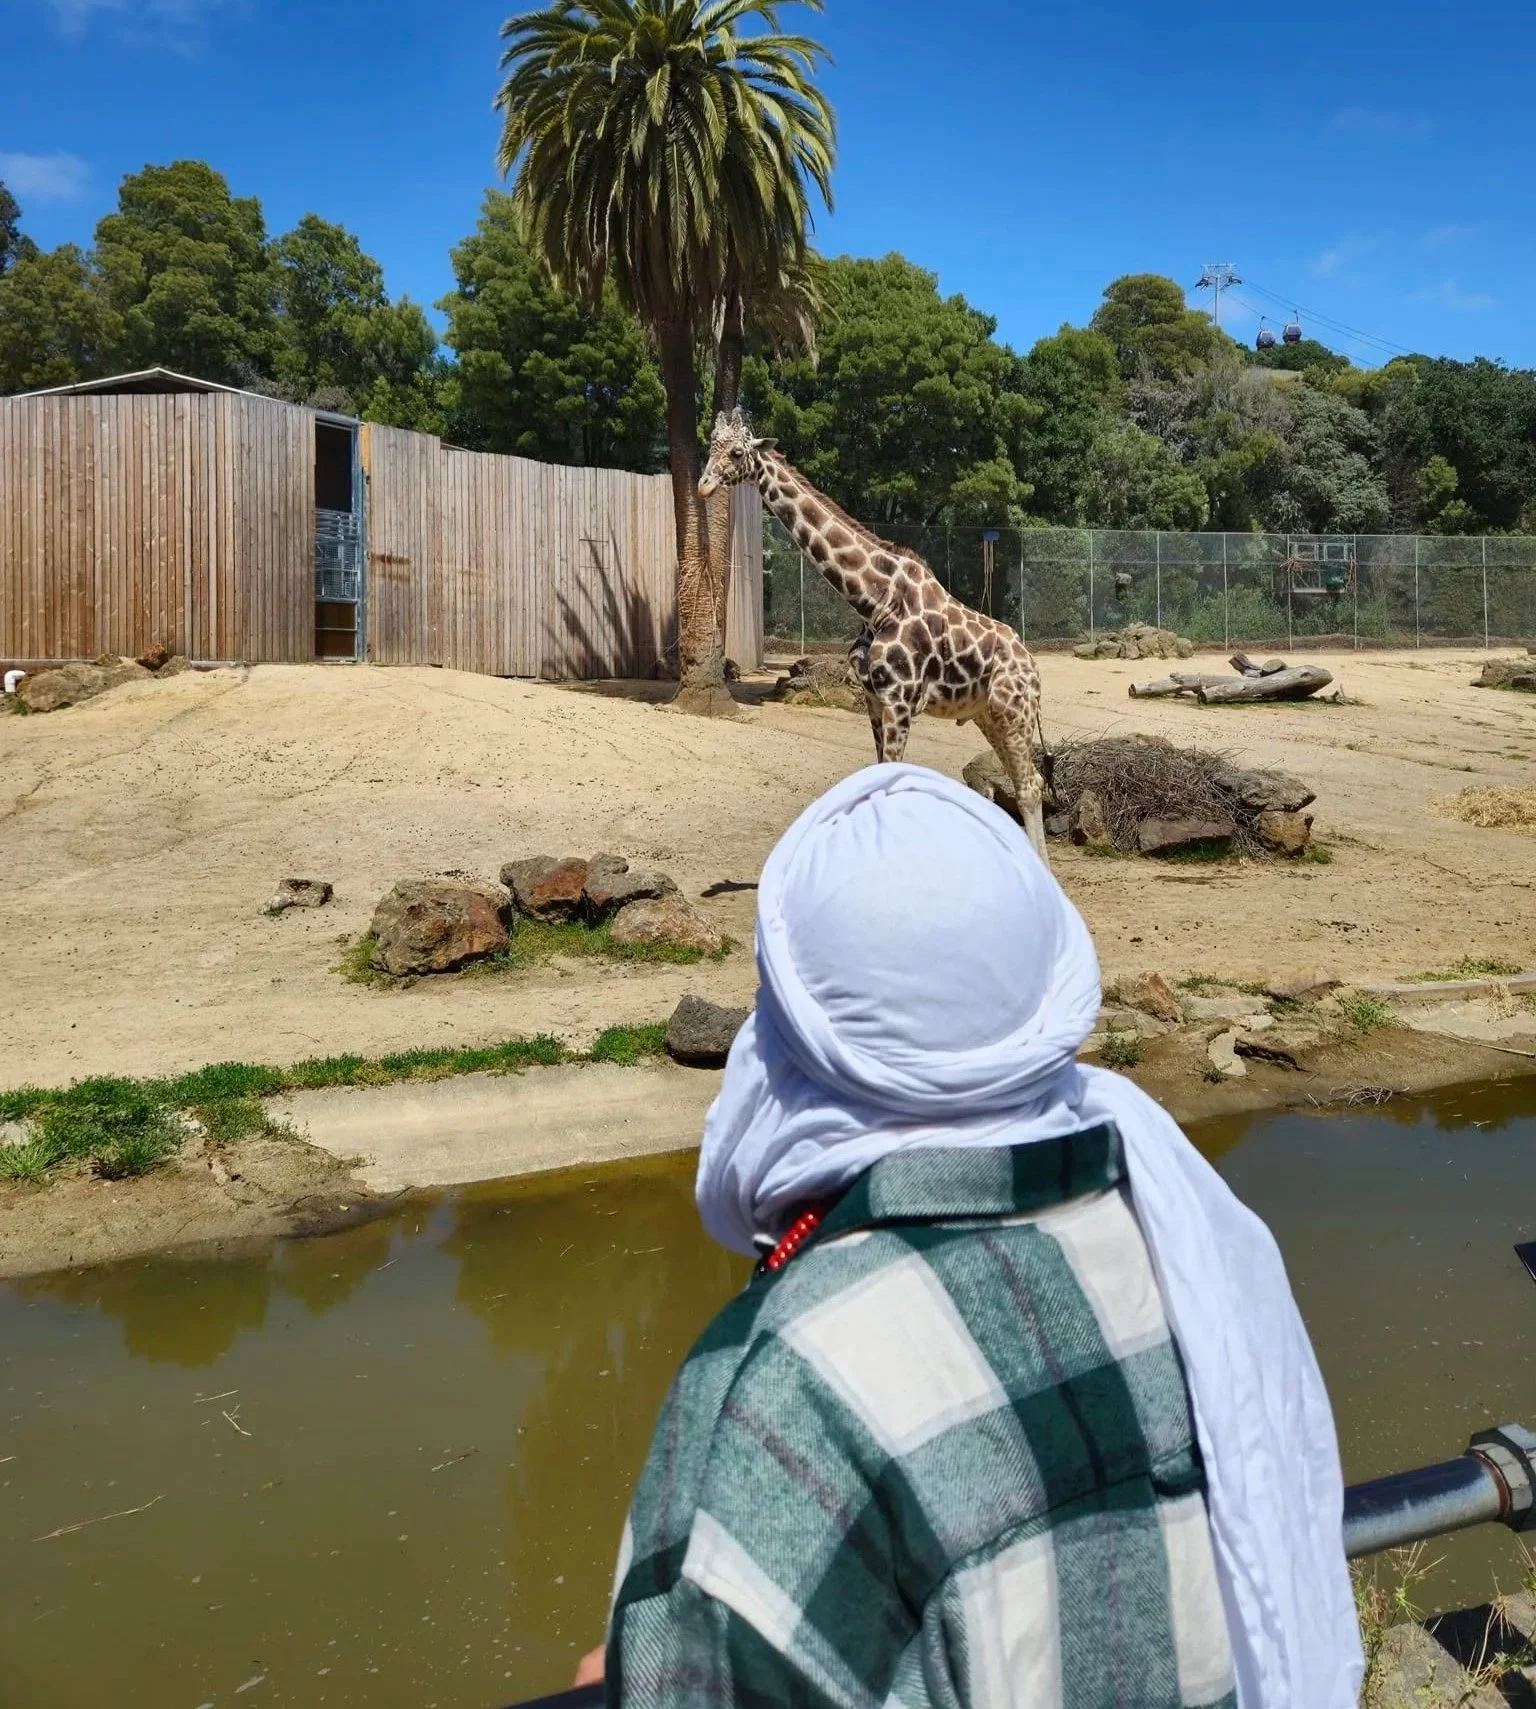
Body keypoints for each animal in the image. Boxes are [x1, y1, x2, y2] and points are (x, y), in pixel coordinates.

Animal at [699, 408, 1053, 860]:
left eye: (737, 452)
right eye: (710, 445)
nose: (704, 485)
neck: (874, 601)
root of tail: (1032, 664)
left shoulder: (900, 701)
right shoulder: (872, 699)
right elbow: (877, 778)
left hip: (1014, 711)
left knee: (1029, 787)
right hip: (986, 715)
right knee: (1027, 782)